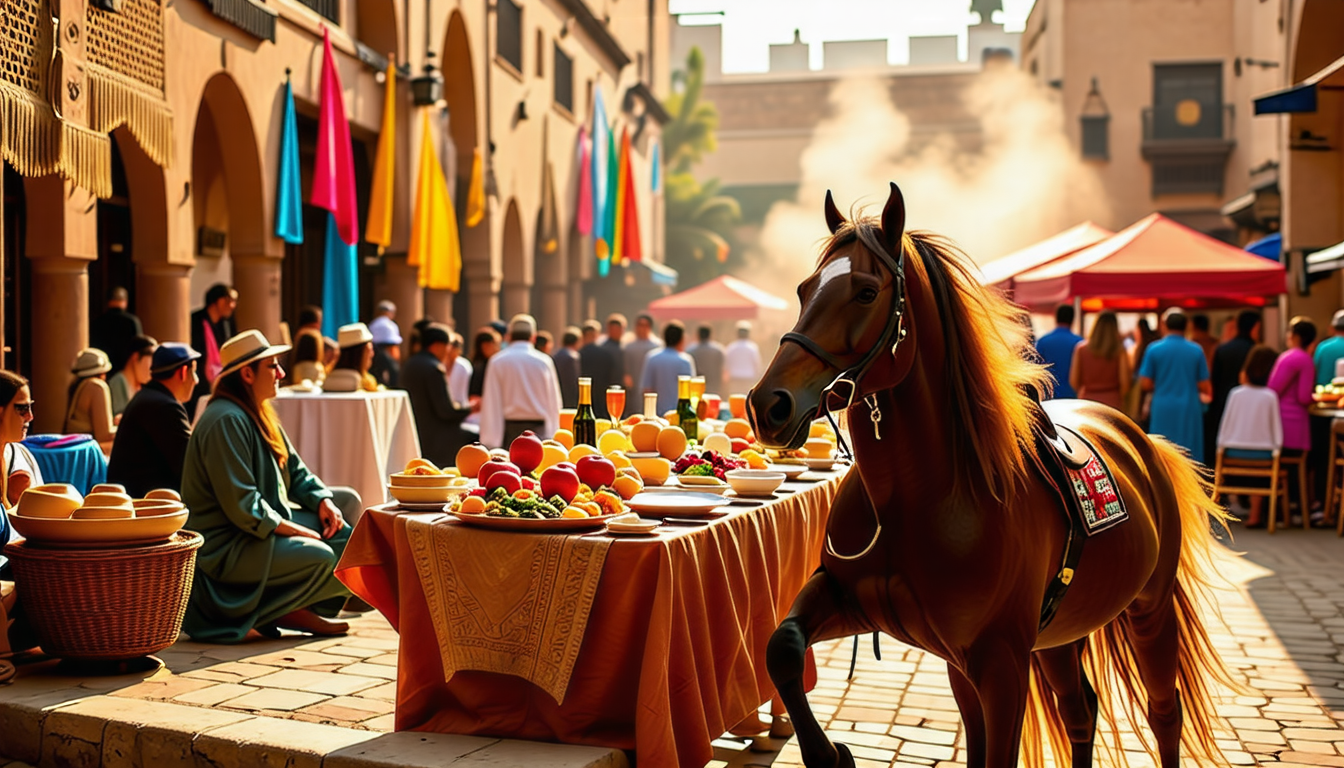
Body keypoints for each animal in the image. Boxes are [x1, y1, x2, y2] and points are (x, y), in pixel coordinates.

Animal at [752, 182, 1231, 768]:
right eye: (803, 290)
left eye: (865, 292)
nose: (767, 404)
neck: (920, 497)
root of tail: (1142, 440)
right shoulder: (869, 610)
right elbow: (783, 647)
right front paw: (831, 753)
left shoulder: (1001, 663)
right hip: (1058, 635)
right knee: (1080, 709)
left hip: (1150, 609)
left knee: (1164, 712)